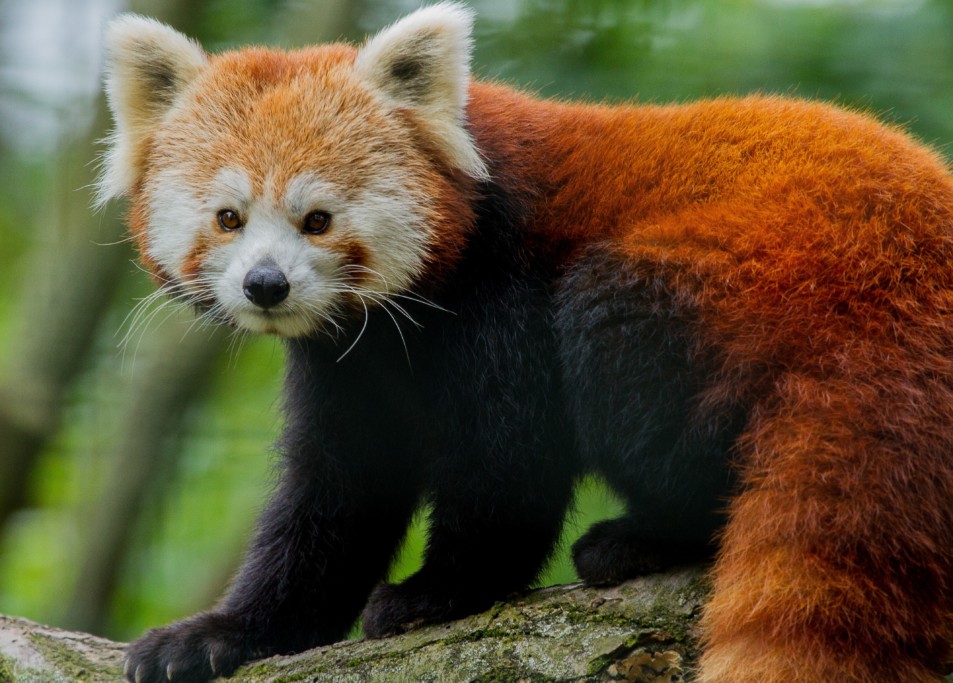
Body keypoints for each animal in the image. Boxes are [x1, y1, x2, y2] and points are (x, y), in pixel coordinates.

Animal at [100, 5, 952, 683]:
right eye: (228, 218)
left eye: (317, 219)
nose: (266, 285)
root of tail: (905, 267)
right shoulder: (355, 360)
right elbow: (338, 497)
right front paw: (225, 634)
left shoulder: (504, 290)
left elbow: (507, 466)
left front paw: (438, 592)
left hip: (726, 278)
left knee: (614, 335)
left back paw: (644, 536)